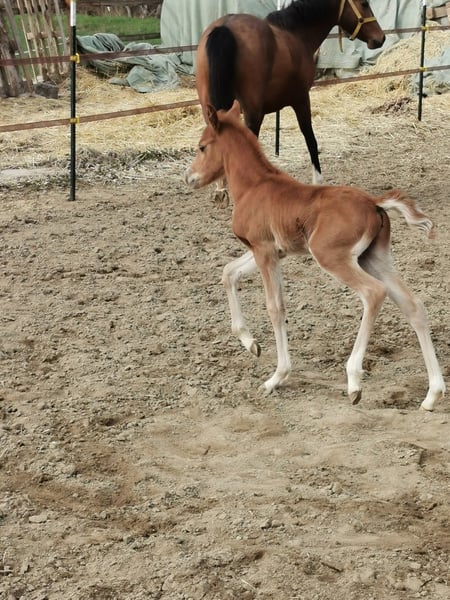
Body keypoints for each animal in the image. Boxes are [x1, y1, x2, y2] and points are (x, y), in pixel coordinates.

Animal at [185, 101, 445, 411]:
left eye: (202, 147)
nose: (189, 178)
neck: (254, 186)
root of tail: (374, 203)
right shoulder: (272, 251)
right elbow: (228, 273)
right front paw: (251, 344)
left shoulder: (263, 250)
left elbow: (275, 307)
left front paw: (276, 377)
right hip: (375, 258)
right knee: (413, 306)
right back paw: (432, 395)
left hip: (332, 257)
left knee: (373, 293)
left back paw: (354, 381)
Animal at [195, 0, 385, 193]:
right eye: (364, 4)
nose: (381, 38)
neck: (297, 34)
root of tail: (225, 27)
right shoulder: (301, 99)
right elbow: (310, 139)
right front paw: (318, 181)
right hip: (253, 114)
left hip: (210, 111)